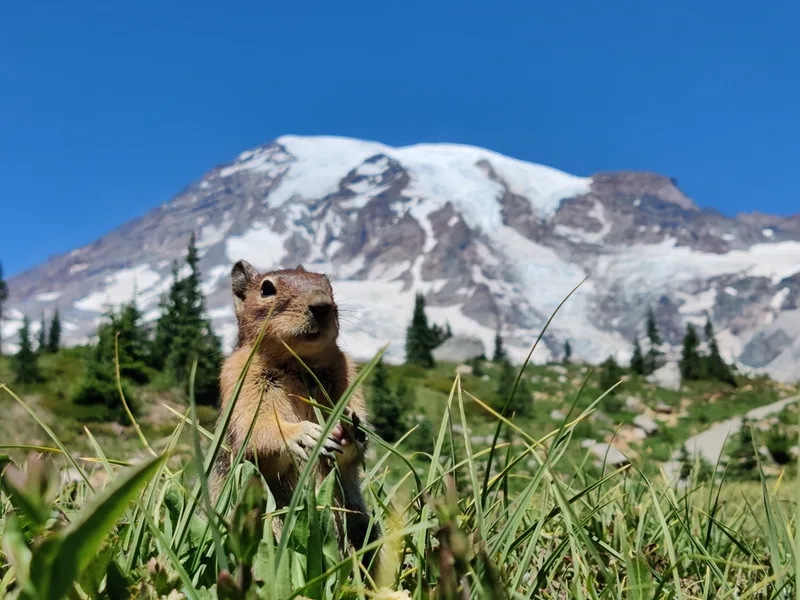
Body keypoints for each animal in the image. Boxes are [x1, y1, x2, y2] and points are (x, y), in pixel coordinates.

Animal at [208, 259, 382, 568]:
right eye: (266, 288)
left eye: (327, 283)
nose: (322, 305)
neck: (298, 365)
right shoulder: (242, 378)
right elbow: (257, 430)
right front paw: (303, 434)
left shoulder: (346, 373)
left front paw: (349, 429)